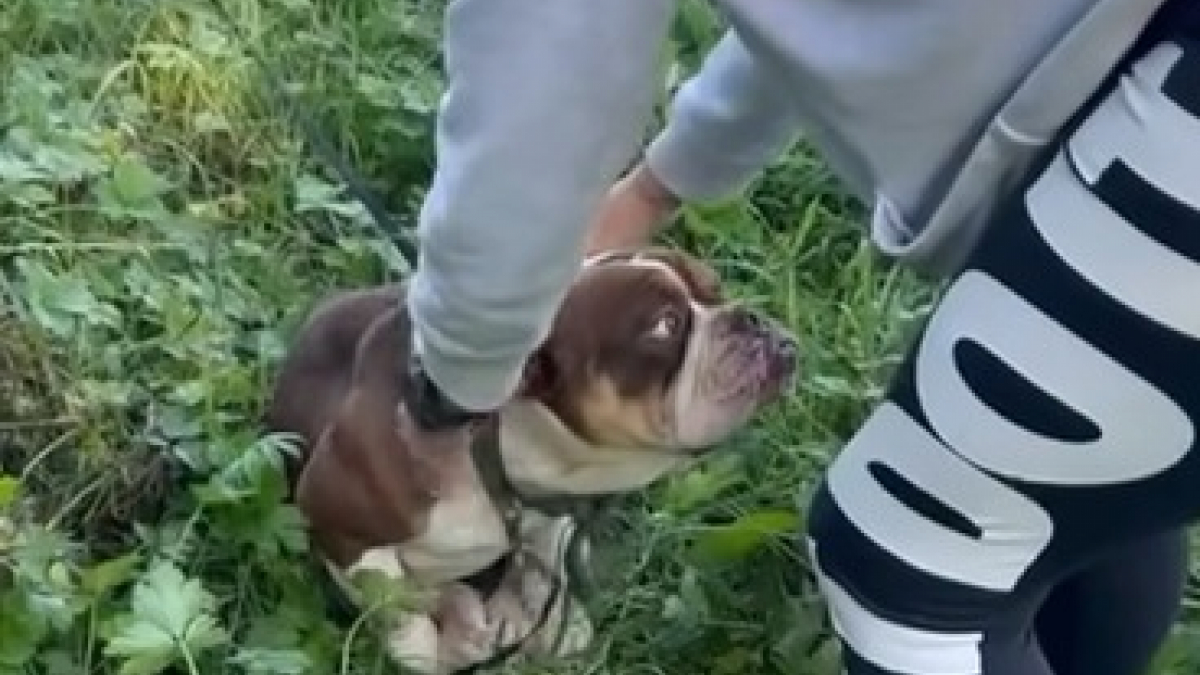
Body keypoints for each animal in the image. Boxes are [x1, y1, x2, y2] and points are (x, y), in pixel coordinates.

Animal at [267, 247, 801, 672]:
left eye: (715, 289)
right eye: (663, 326)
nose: (750, 318)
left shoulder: (550, 516)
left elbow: (546, 573)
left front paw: (557, 624)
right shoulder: (339, 520)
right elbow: (397, 605)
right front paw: (424, 651)